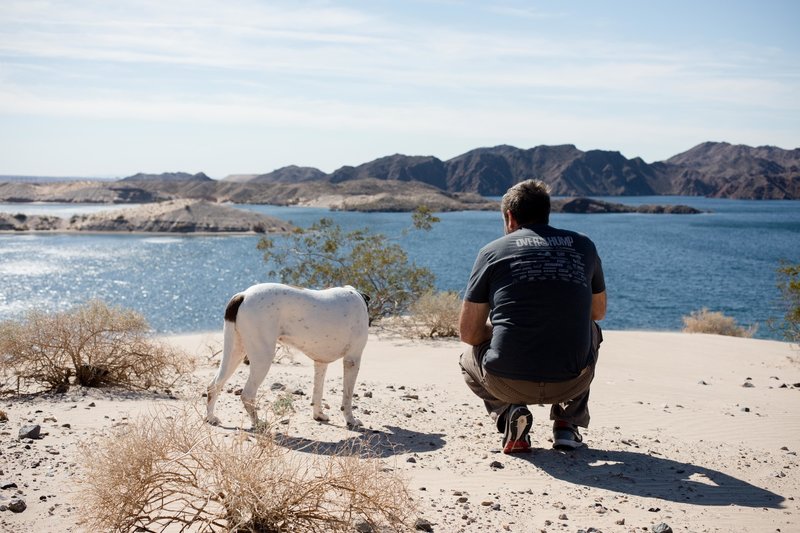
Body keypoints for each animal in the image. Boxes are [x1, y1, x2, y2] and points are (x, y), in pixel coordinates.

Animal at [205, 282, 370, 428]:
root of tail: (243, 295)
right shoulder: (352, 360)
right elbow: (347, 398)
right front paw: (351, 420)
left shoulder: (320, 363)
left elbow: (318, 392)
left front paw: (319, 415)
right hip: (262, 358)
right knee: (247, 395)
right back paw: (257, 423)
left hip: (235, 352)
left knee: (214, 385)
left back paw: (211, 418)